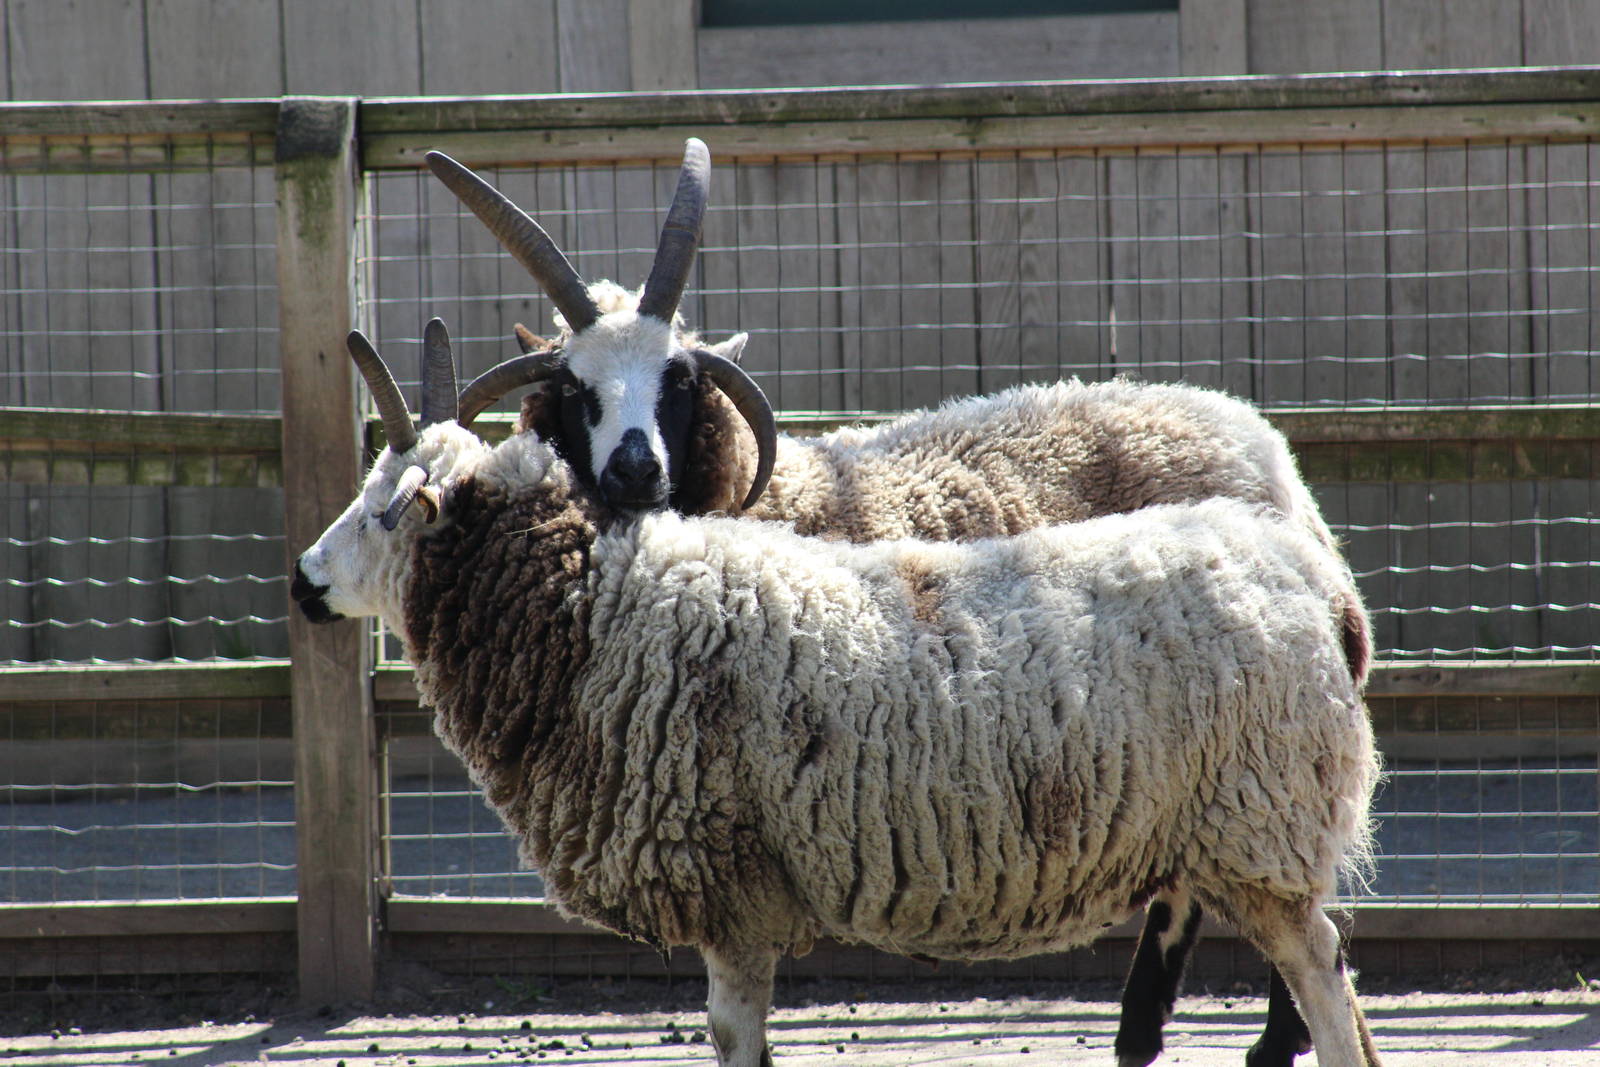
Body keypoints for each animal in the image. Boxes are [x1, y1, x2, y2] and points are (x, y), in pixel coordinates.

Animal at [434, 149, 1368, 1066]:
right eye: (573, 386)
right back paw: (1155, 1030)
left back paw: (1238, 1037)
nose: (635, 468)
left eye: (681, 381)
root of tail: (1259, 441)